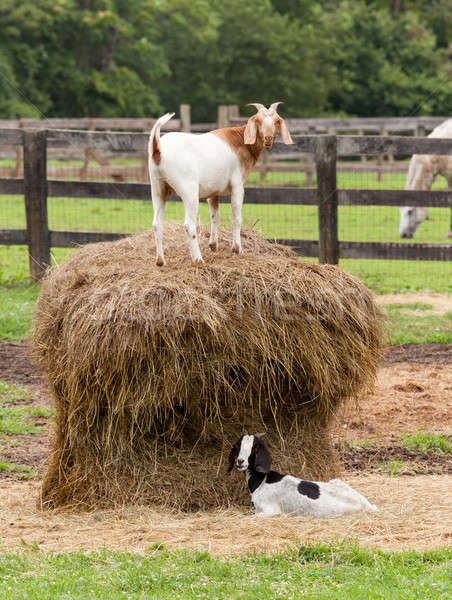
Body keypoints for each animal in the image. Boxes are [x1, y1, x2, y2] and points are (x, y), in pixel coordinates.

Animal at [148, 102, 294, 264]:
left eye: (276, 121)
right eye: (258, 121)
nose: (268, 139)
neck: (240, 142)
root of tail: (158, 148)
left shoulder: (213, 192)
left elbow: (215, 216)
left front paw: (213, 245)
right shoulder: (238, 185)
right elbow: (236, 217)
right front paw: (237, 249)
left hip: (157, 188)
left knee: (157, 224)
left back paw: (160, 261)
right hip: (189, 191)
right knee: (188, 225)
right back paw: (198, 259)